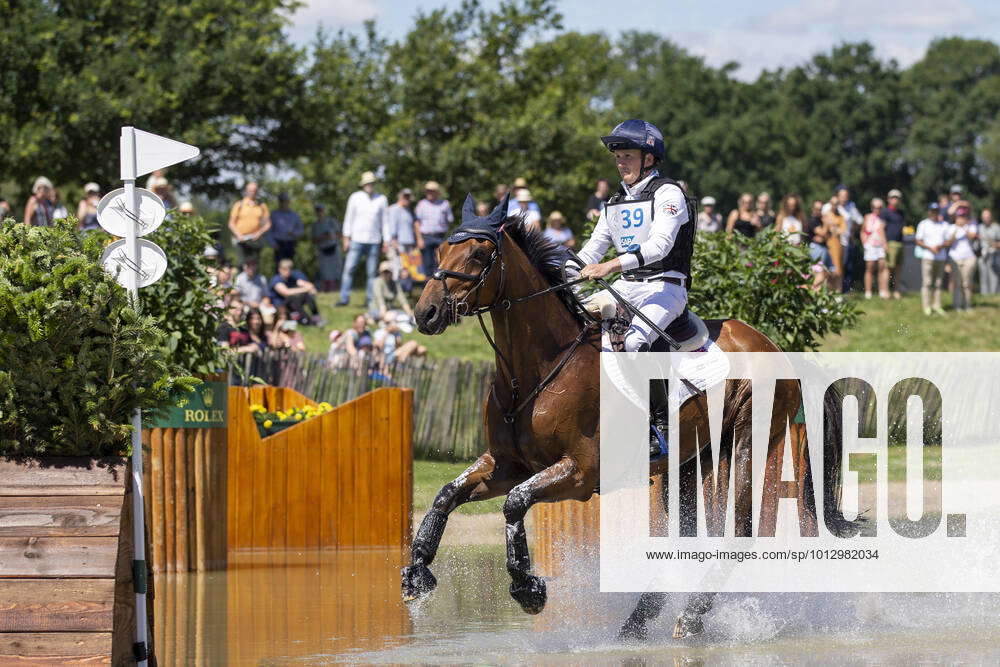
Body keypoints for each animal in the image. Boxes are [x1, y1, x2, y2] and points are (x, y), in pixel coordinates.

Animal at [402, 204, 856, 640]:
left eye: (480, 254)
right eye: (440, 253)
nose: (426, 313)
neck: (537, 368)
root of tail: (775, 347)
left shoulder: (580, 472)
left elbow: (515, 502)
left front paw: (527, 589)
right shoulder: (507, 464)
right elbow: (446, 495)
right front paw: (416, 574)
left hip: (747, 439)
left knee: (739, 530)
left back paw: (690, 617)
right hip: (692, 458)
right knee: (686, 534)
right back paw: (639, 620)